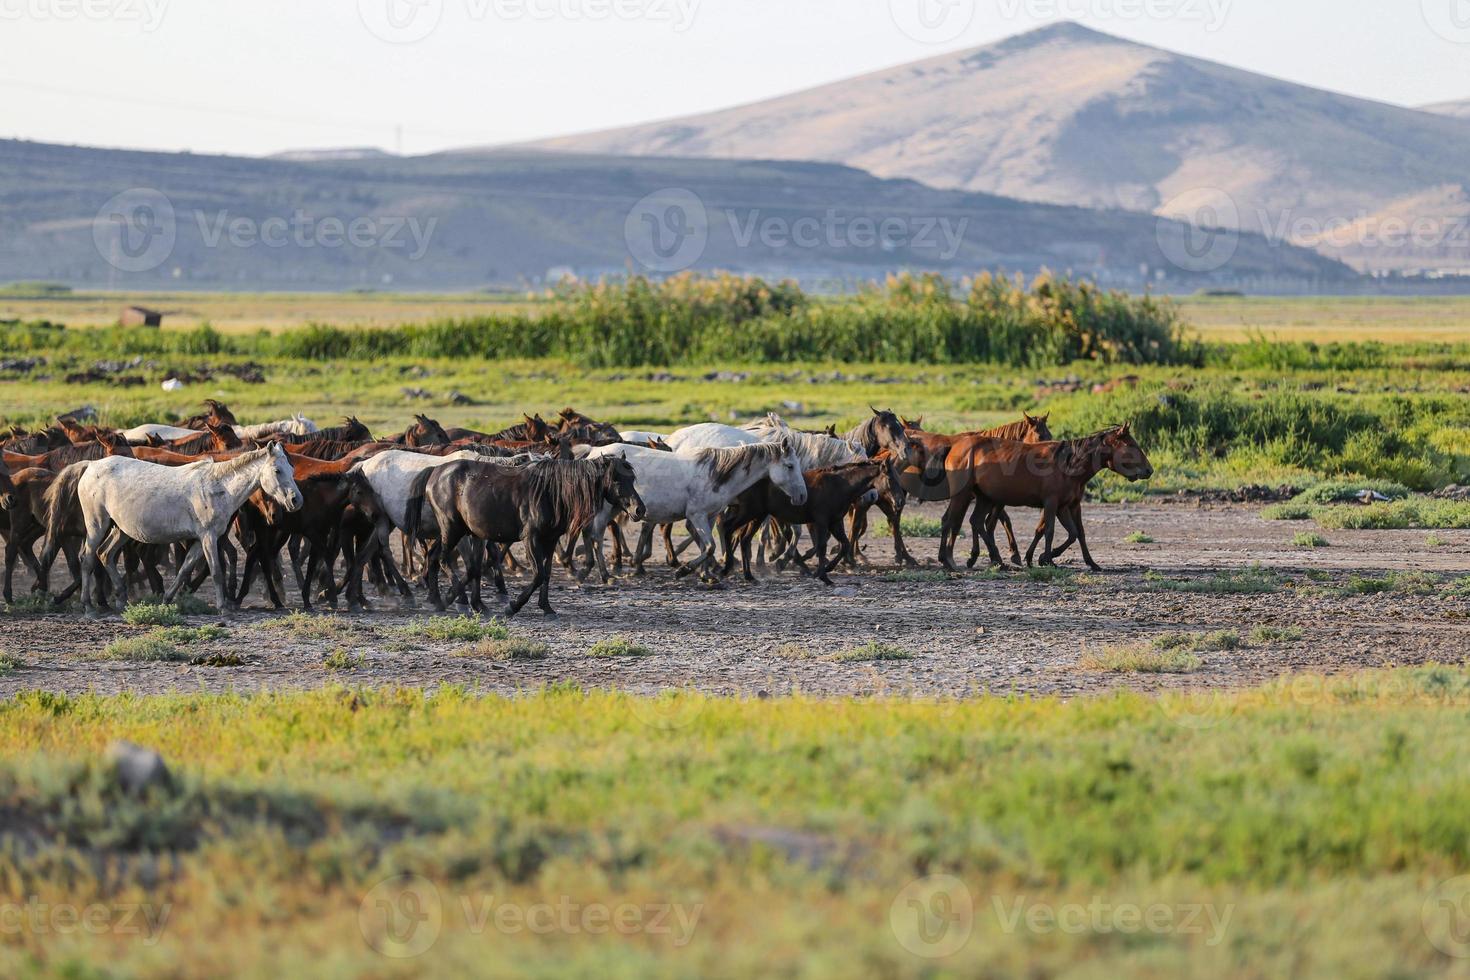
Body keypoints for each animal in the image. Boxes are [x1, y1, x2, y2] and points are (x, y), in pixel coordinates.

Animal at [73, 446, 299, 620]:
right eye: (277, 470)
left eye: (291, 468)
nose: (296, 500)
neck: (218, 487)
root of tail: (91, 466)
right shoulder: (209, 537)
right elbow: (216, 572)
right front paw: (223, 608)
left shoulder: (200, 541)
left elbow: (184, 570)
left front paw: (166, 600)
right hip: (97, 524)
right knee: (87, 558)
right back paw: (89, 608)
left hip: (121, 530)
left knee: (105, 554)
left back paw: (121, 600)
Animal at [585, 437, 811, 581]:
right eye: (790, 466)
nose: (802, 496)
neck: (716, 474)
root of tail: (594, 454)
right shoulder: (697, 515)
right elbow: (710, 546)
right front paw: (683, 570)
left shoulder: (709, 517)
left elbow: (705, 545)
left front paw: (707, 575)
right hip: (604, 511)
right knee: (596, 537)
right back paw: (605, 575)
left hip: (616, 509)